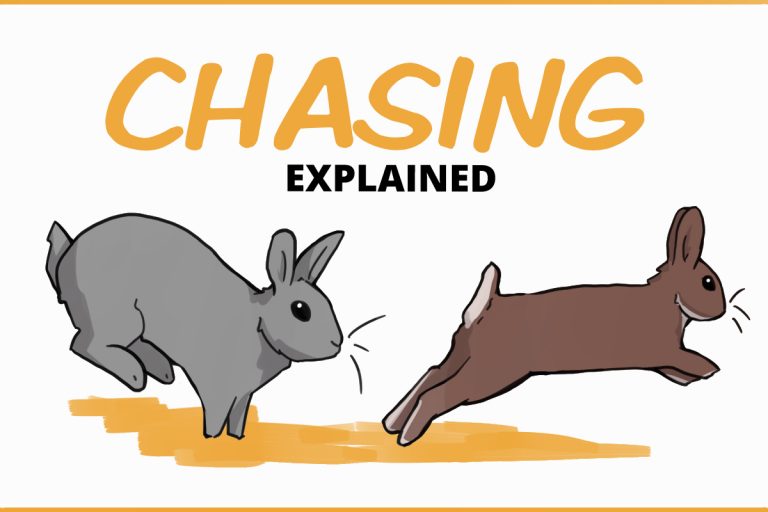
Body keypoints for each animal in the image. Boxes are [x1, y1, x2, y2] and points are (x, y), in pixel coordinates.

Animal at [46, 213, 344, 439]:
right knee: (86, 344)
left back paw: (162, 370)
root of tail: (65, 261)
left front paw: (237, 441)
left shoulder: (243, 395)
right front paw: (211, 441)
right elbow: (215, 417)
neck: (259, 323)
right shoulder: (216, 389)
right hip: (118, 317)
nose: (337, 343)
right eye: (301, 310)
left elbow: (237, 420)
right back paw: (135, 374)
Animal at [383, 206, 726, 446]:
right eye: (708, 283)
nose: (721, 311)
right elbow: (688, 357)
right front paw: (710, 367)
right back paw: (407, 438)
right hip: (491, 375)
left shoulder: (662, 358)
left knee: (431, 374)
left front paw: (696, 375)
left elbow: (677, 370)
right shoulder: (663, 349)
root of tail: (485, 306)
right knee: (438, 393)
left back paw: (392, 424)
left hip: (464, 356)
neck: (670, 299)